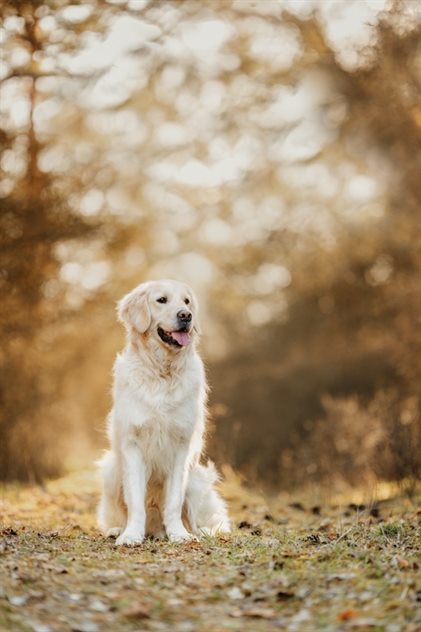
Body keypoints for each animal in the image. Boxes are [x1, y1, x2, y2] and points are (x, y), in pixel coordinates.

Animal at [97, 278, 230, 544]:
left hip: (197, 479)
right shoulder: (133, 444)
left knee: (196, 517)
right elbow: (135, 501)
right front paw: (131, 535)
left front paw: (178, 534)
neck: (162, 372)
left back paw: (194, 532)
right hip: (111, 470)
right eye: (162, 300)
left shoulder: (180, 446)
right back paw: (119, 529)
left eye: (186, 301)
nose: (186, 315)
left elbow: (174, 501)